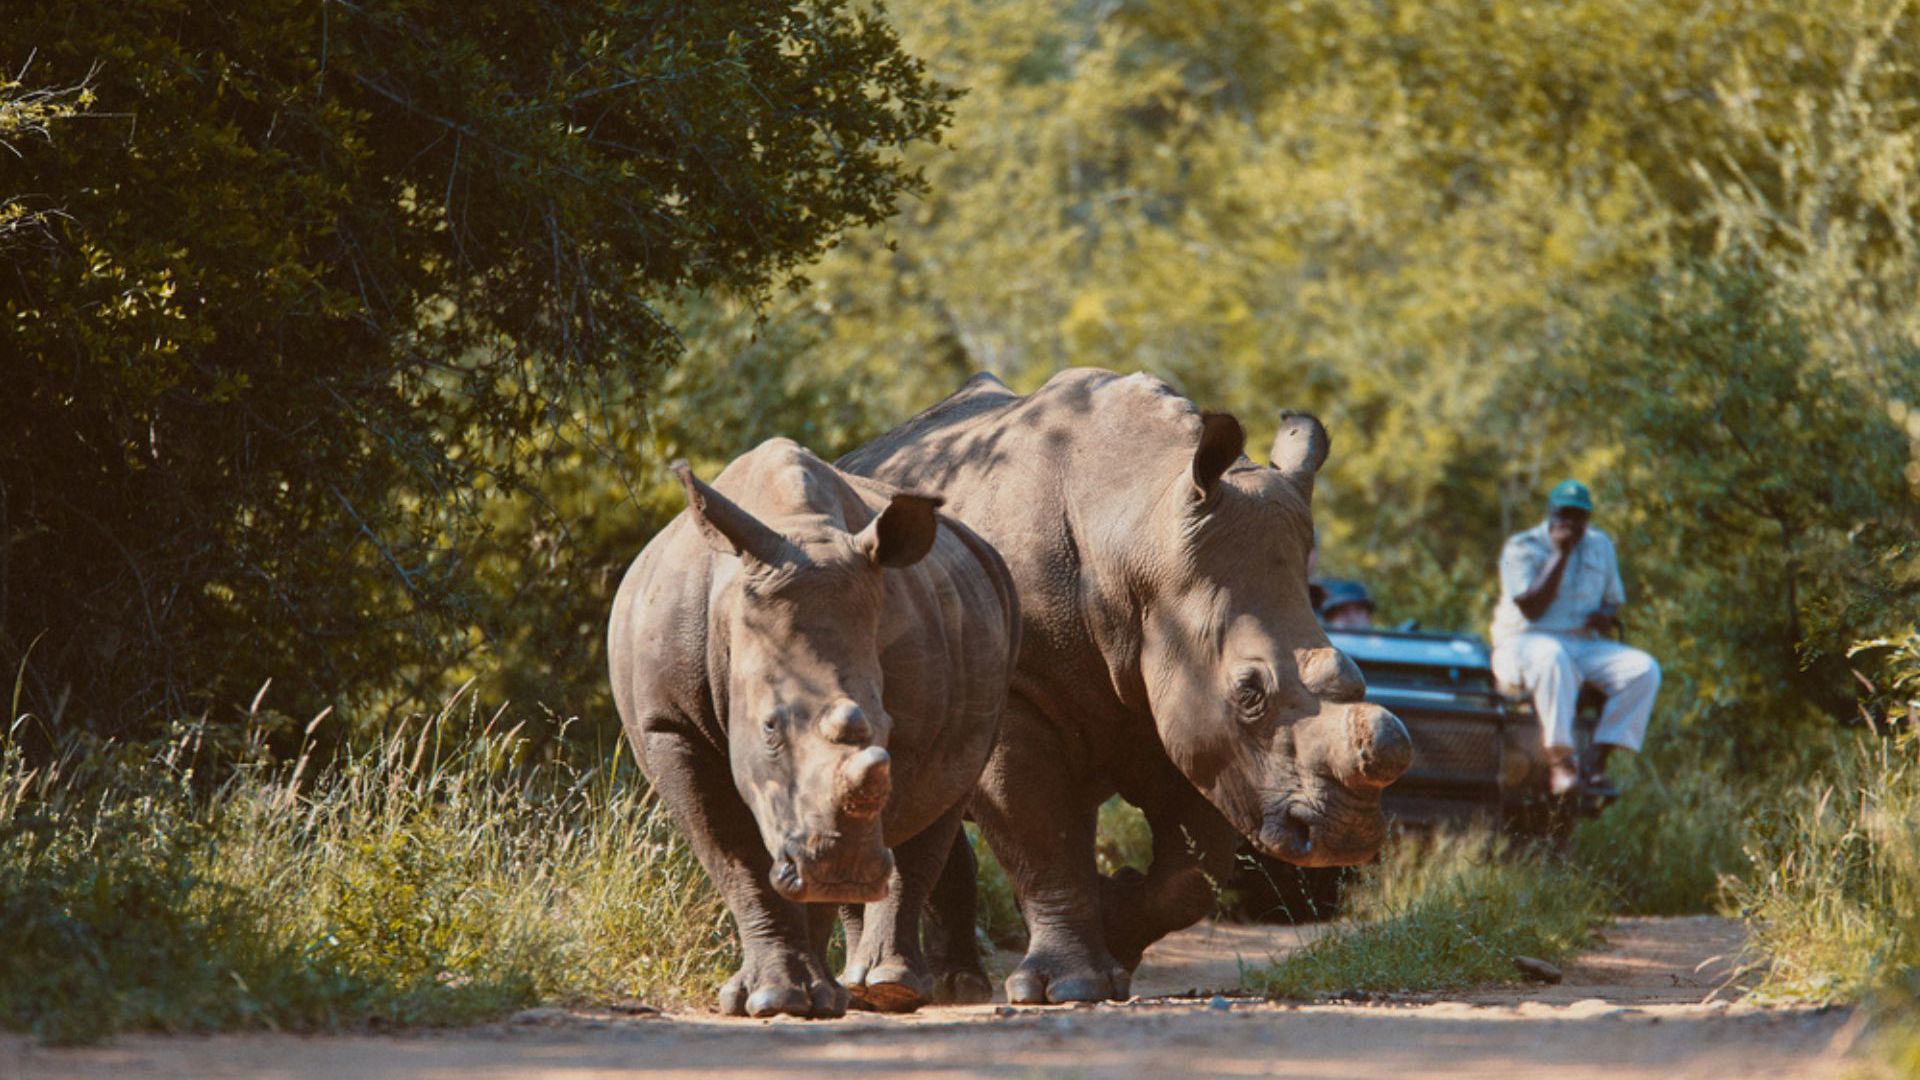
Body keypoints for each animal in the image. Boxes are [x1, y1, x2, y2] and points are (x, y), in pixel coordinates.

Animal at [607, 439, 1018, 1017]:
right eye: (769, 727)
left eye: (886, 723)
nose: (840, 869)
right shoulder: (669, 723)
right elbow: (733, 856)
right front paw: (771, 997)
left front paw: (802, 993)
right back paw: (866, 986)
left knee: (943, 792)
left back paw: (891, 987)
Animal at [839, 369, 1412, 1004]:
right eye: (1249, 693)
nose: (1346, 835)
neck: (1138, 534)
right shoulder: (1020, 695)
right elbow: (1042, 836)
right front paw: (1070, 987)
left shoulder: (1187, 703)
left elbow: (1193, 870)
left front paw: (1114, 919)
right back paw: (887, 989)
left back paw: (952, 987)